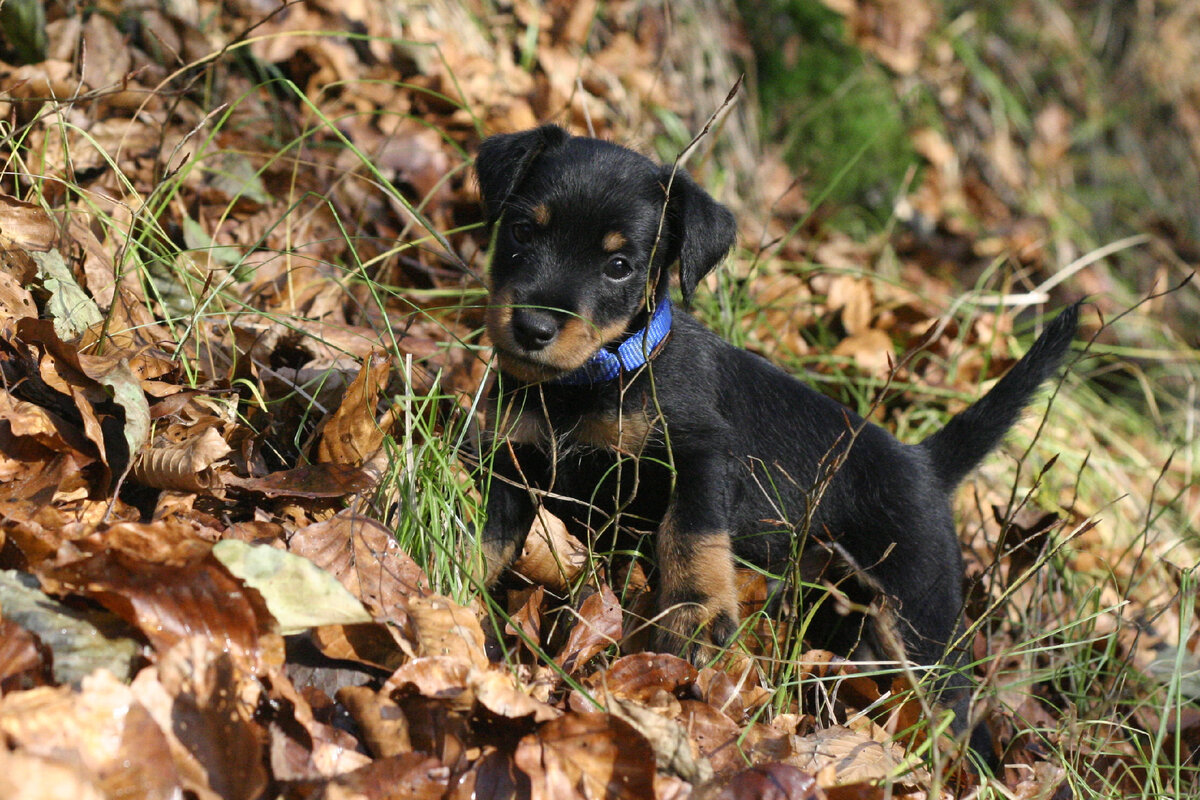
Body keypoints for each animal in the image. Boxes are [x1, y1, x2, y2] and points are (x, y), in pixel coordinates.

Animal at [468, 123, 1080, 758]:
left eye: (618, 265)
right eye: (521, 231)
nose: (532, 328)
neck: (594, 378)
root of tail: (925, 463)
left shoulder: (702, 453)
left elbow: (690, 532)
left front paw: (697, 614)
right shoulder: (512, 461)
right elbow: (488, 540)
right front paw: (460, 596)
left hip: (920, 617)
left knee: (956, 707)